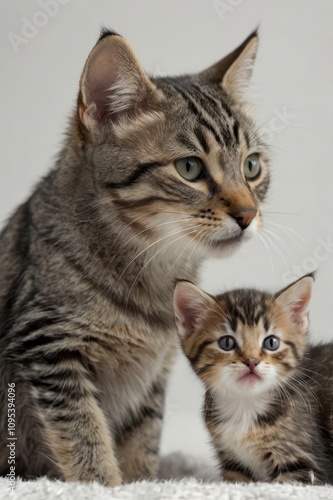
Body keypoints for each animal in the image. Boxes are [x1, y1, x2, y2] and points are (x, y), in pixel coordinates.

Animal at [0, 28, 268, 484]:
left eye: (252, 167)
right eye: (190, 168)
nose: (248, 214)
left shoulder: (152, 379)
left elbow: (142, 441)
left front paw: (143, 482)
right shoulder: (48, 347)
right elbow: (85, 435)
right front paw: (102, 484)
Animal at [172, 274, 332, 484]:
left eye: (271, 342)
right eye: (227, 342)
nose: (252, 362)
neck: (246, 406)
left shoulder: (302, 462)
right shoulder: (233, 463)